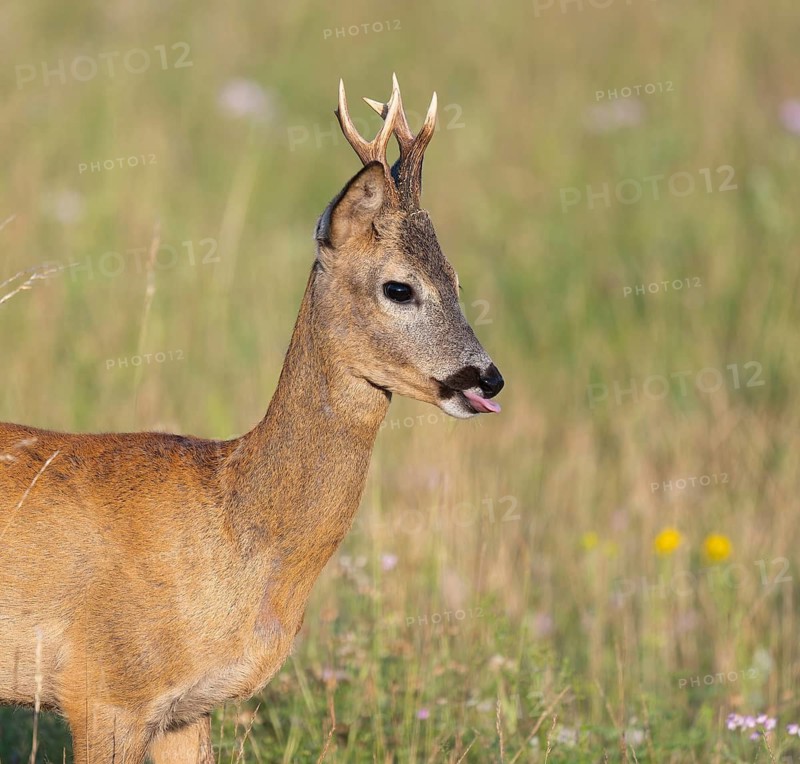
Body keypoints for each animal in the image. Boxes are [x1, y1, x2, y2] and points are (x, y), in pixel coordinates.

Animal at [0, 74, 504, 763]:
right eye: (399, 287)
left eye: (455, 278)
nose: (488, 377)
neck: (234, 520)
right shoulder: (104, 689)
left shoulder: (186, 710)